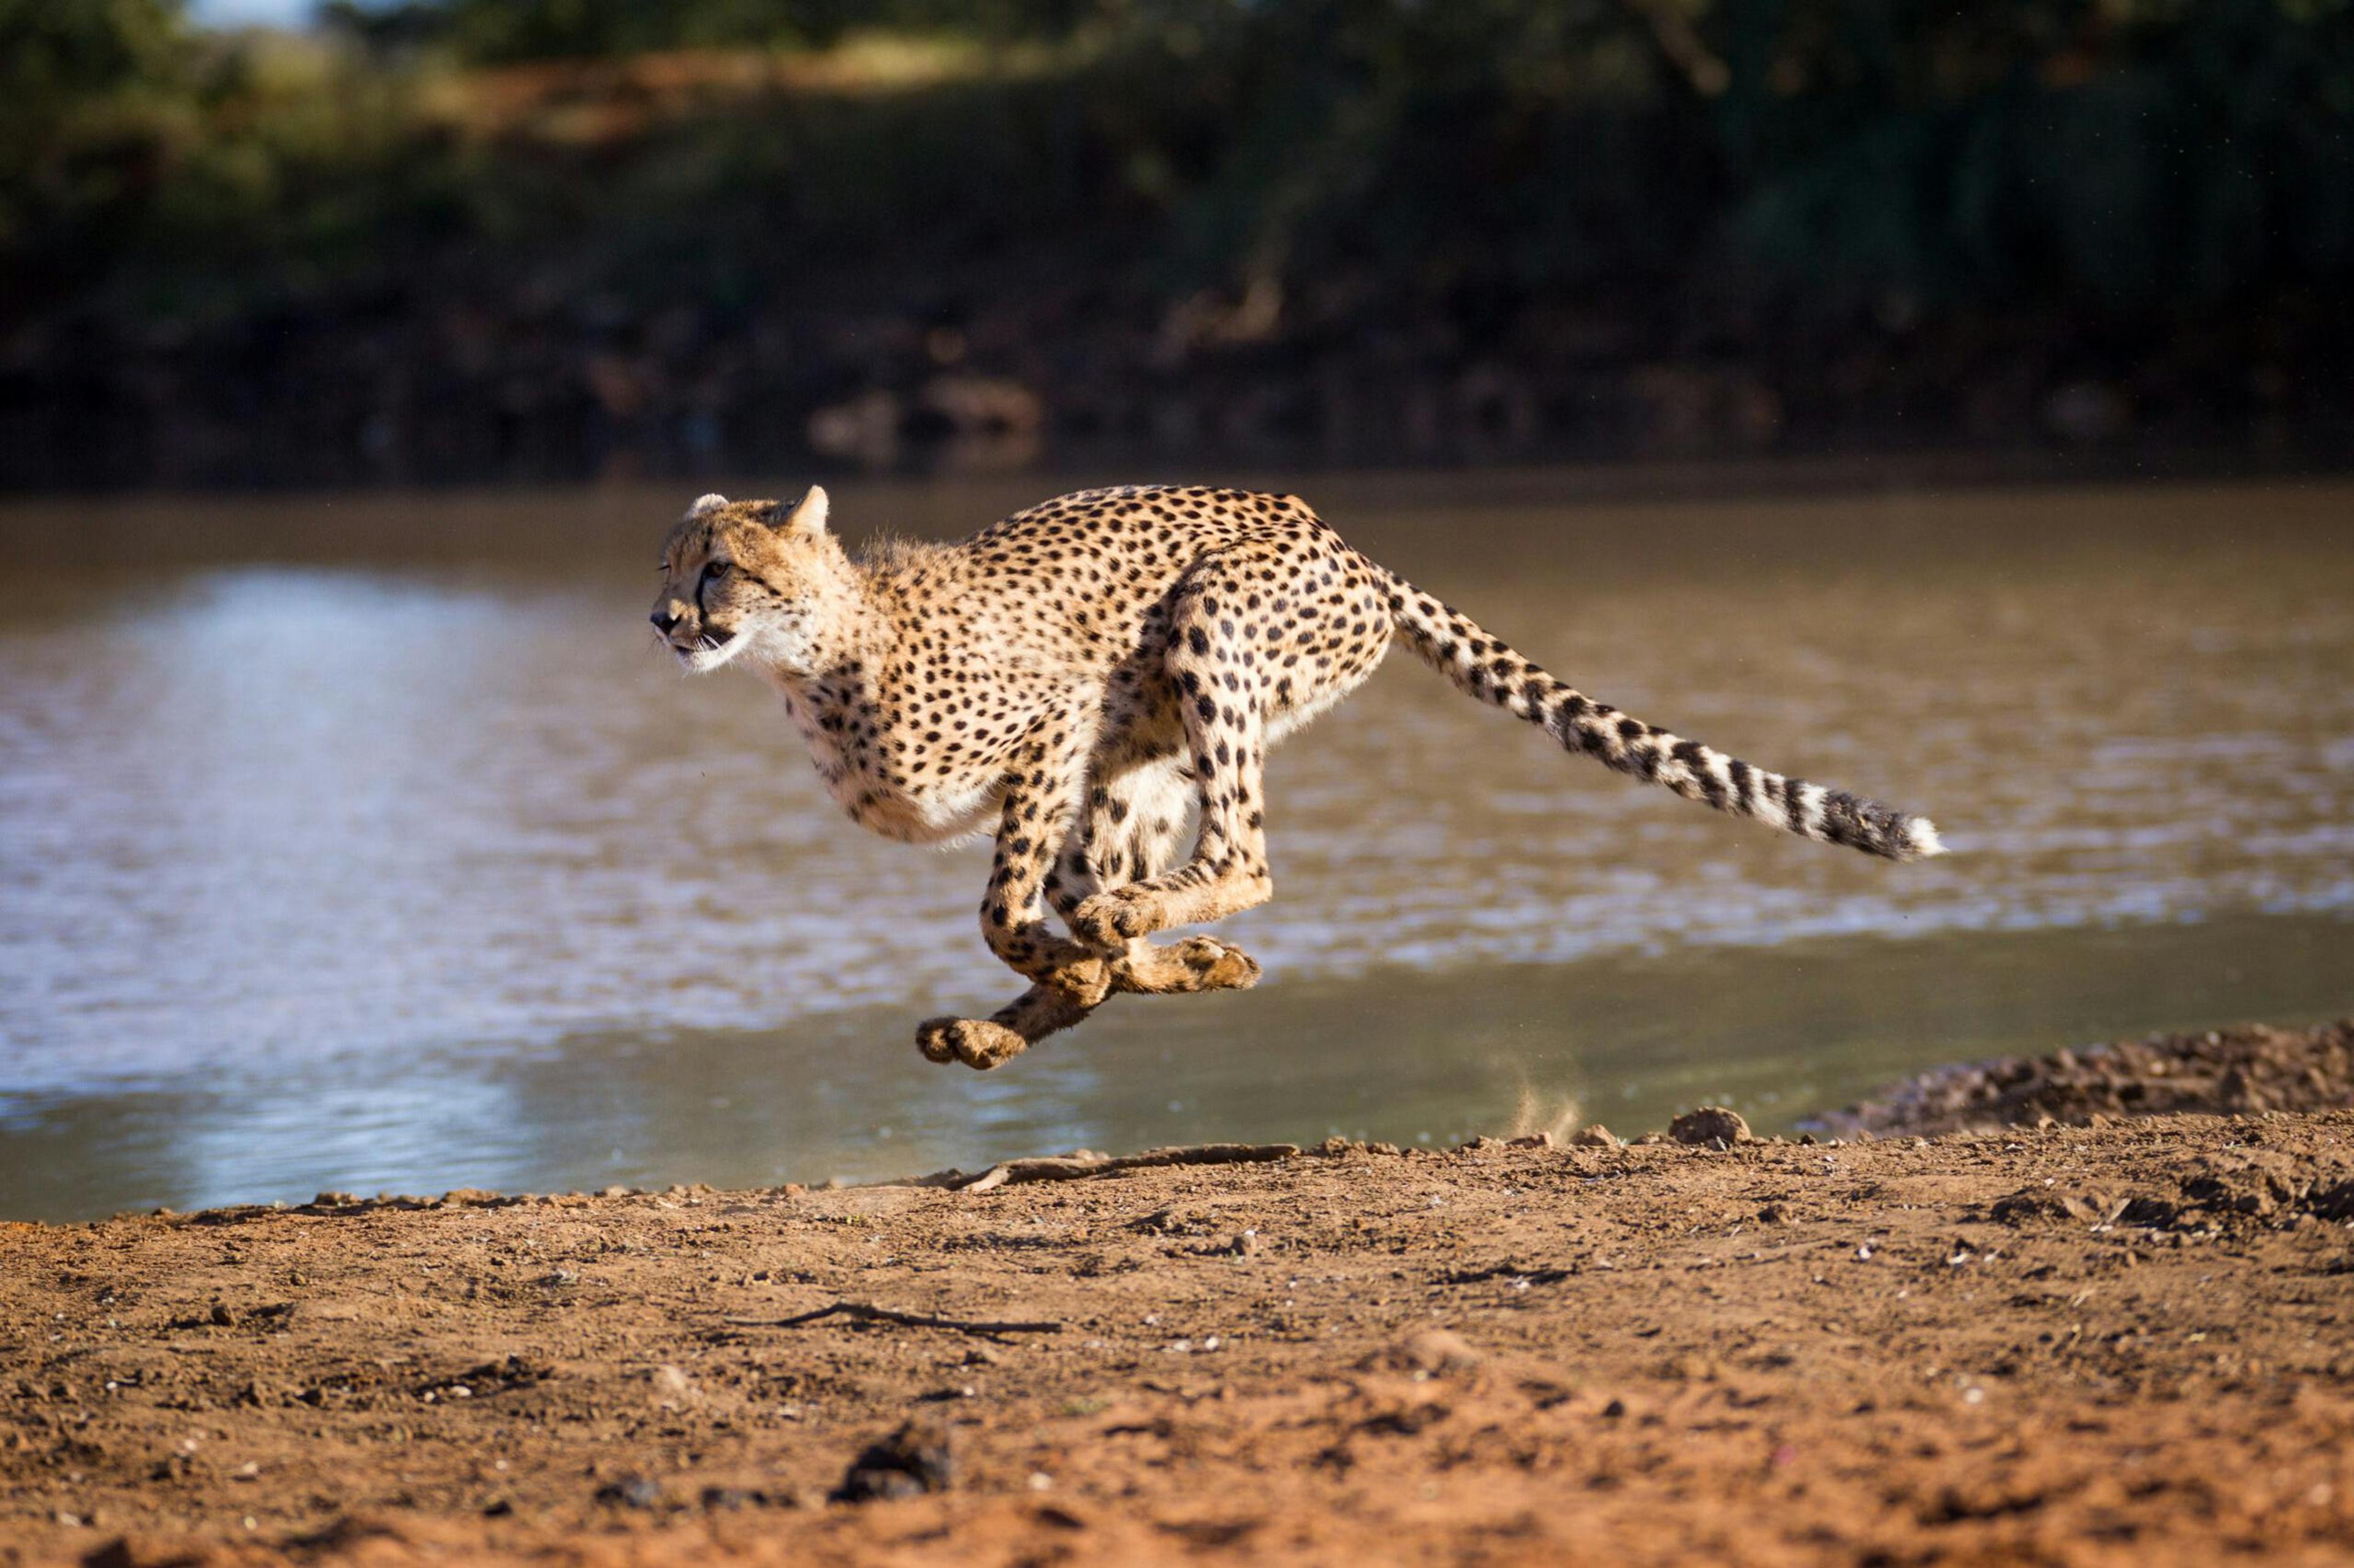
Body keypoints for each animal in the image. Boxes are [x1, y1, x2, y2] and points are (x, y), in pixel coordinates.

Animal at [651, 484, 1944, 1070]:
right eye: (668, 565)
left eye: (719, 568)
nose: (662, 618)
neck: (814, 656)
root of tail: (1338, 534)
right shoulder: (1075, 757)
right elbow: (1054, 931)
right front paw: (1113, 976)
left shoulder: (1055, 719)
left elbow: (1003, 912)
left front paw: (1083, 962)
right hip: (1138, 759)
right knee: (1142, 885)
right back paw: (1087, 991)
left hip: (1211, 627)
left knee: (1243, 858)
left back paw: (1133, 945)